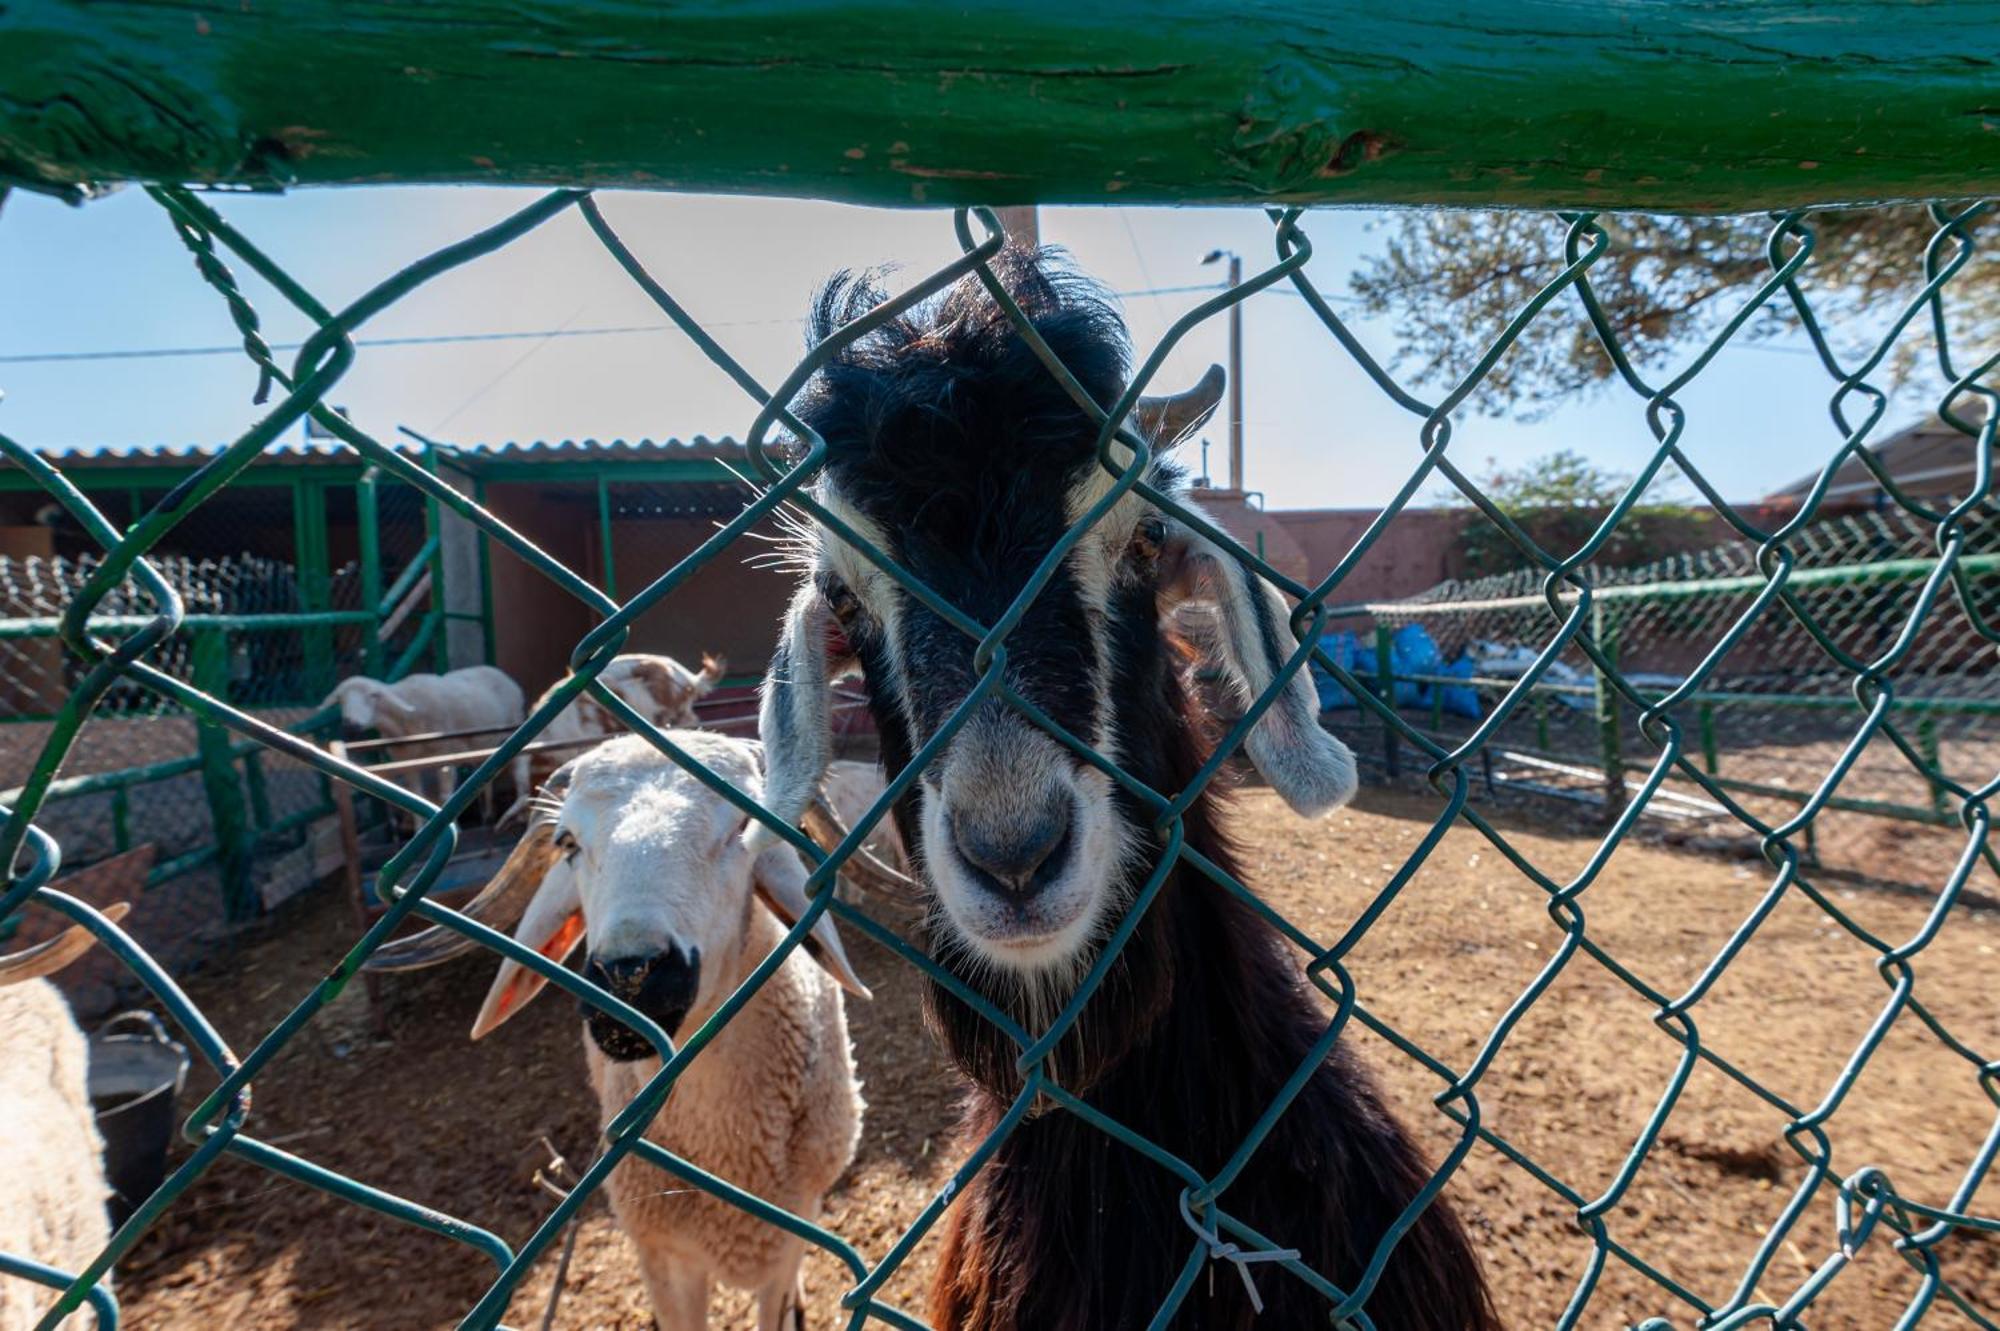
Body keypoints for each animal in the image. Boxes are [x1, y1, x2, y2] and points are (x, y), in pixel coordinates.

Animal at [322, 663, 524, 819]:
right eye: (340, 699)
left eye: (373, 695)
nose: (350, 724)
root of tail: (497, 671)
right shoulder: (406, 762)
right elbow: (415, 796)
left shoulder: (444, 753)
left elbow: (445, 795)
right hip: (482, 743)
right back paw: (488, 813)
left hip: (513, 724)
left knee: (520, 768)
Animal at [372, 731, 864, 1319]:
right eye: (567, 843)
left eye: (743, 828)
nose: (630, 977)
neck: (727, 1147)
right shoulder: (661, 1255)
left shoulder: (791, 1228)